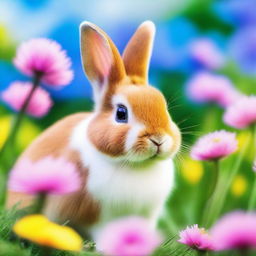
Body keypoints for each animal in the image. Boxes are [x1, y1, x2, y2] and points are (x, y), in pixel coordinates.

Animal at [6, 20, 182, 240]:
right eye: (121, 113)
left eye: (165, 108)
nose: (158, 139)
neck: (136, 165)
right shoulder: (99, 217)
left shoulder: (147, 216)